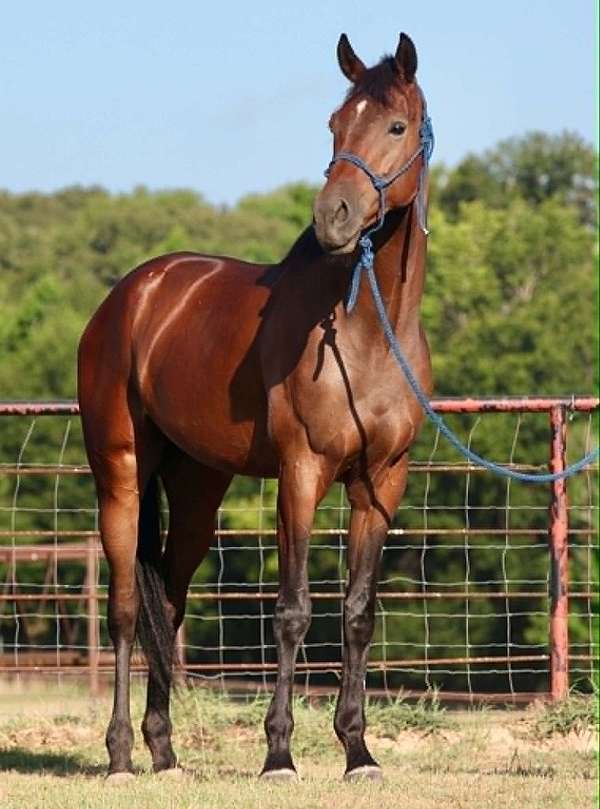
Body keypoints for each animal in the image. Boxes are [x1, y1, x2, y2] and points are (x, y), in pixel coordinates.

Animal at [78, 31, 433, 783]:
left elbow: (358, 612)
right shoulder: (301, 473)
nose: (333, 217)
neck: (361, 330)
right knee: (124, 609)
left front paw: (358, 751)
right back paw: (120, 755)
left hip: (197, 487)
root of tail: (132, 295)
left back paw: (165, 753)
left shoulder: (381, 482)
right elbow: (294, 609)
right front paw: (279, 753)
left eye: (396, 126)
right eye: (334, 124)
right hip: (120, 473)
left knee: (168, 603)